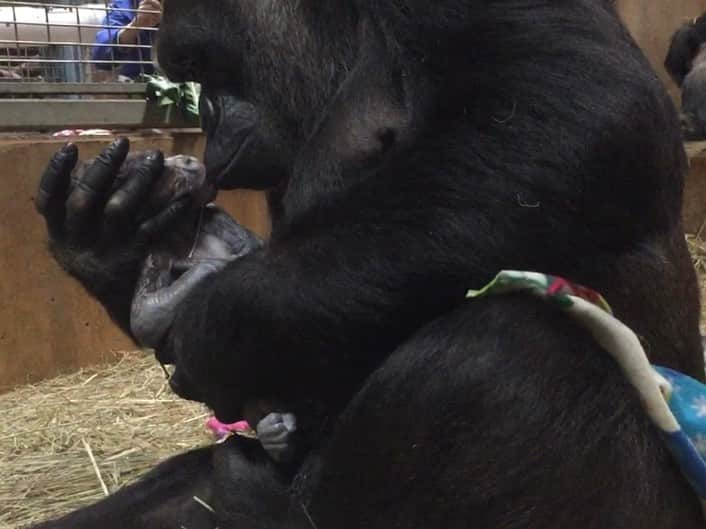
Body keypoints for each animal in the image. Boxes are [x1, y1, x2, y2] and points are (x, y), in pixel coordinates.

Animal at [73, 150, 296, 462]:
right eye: (164, 168)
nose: (185, 159)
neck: (186, 230)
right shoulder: (154, 252)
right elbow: (144, 318)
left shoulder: (220, 219)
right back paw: (274, 432)